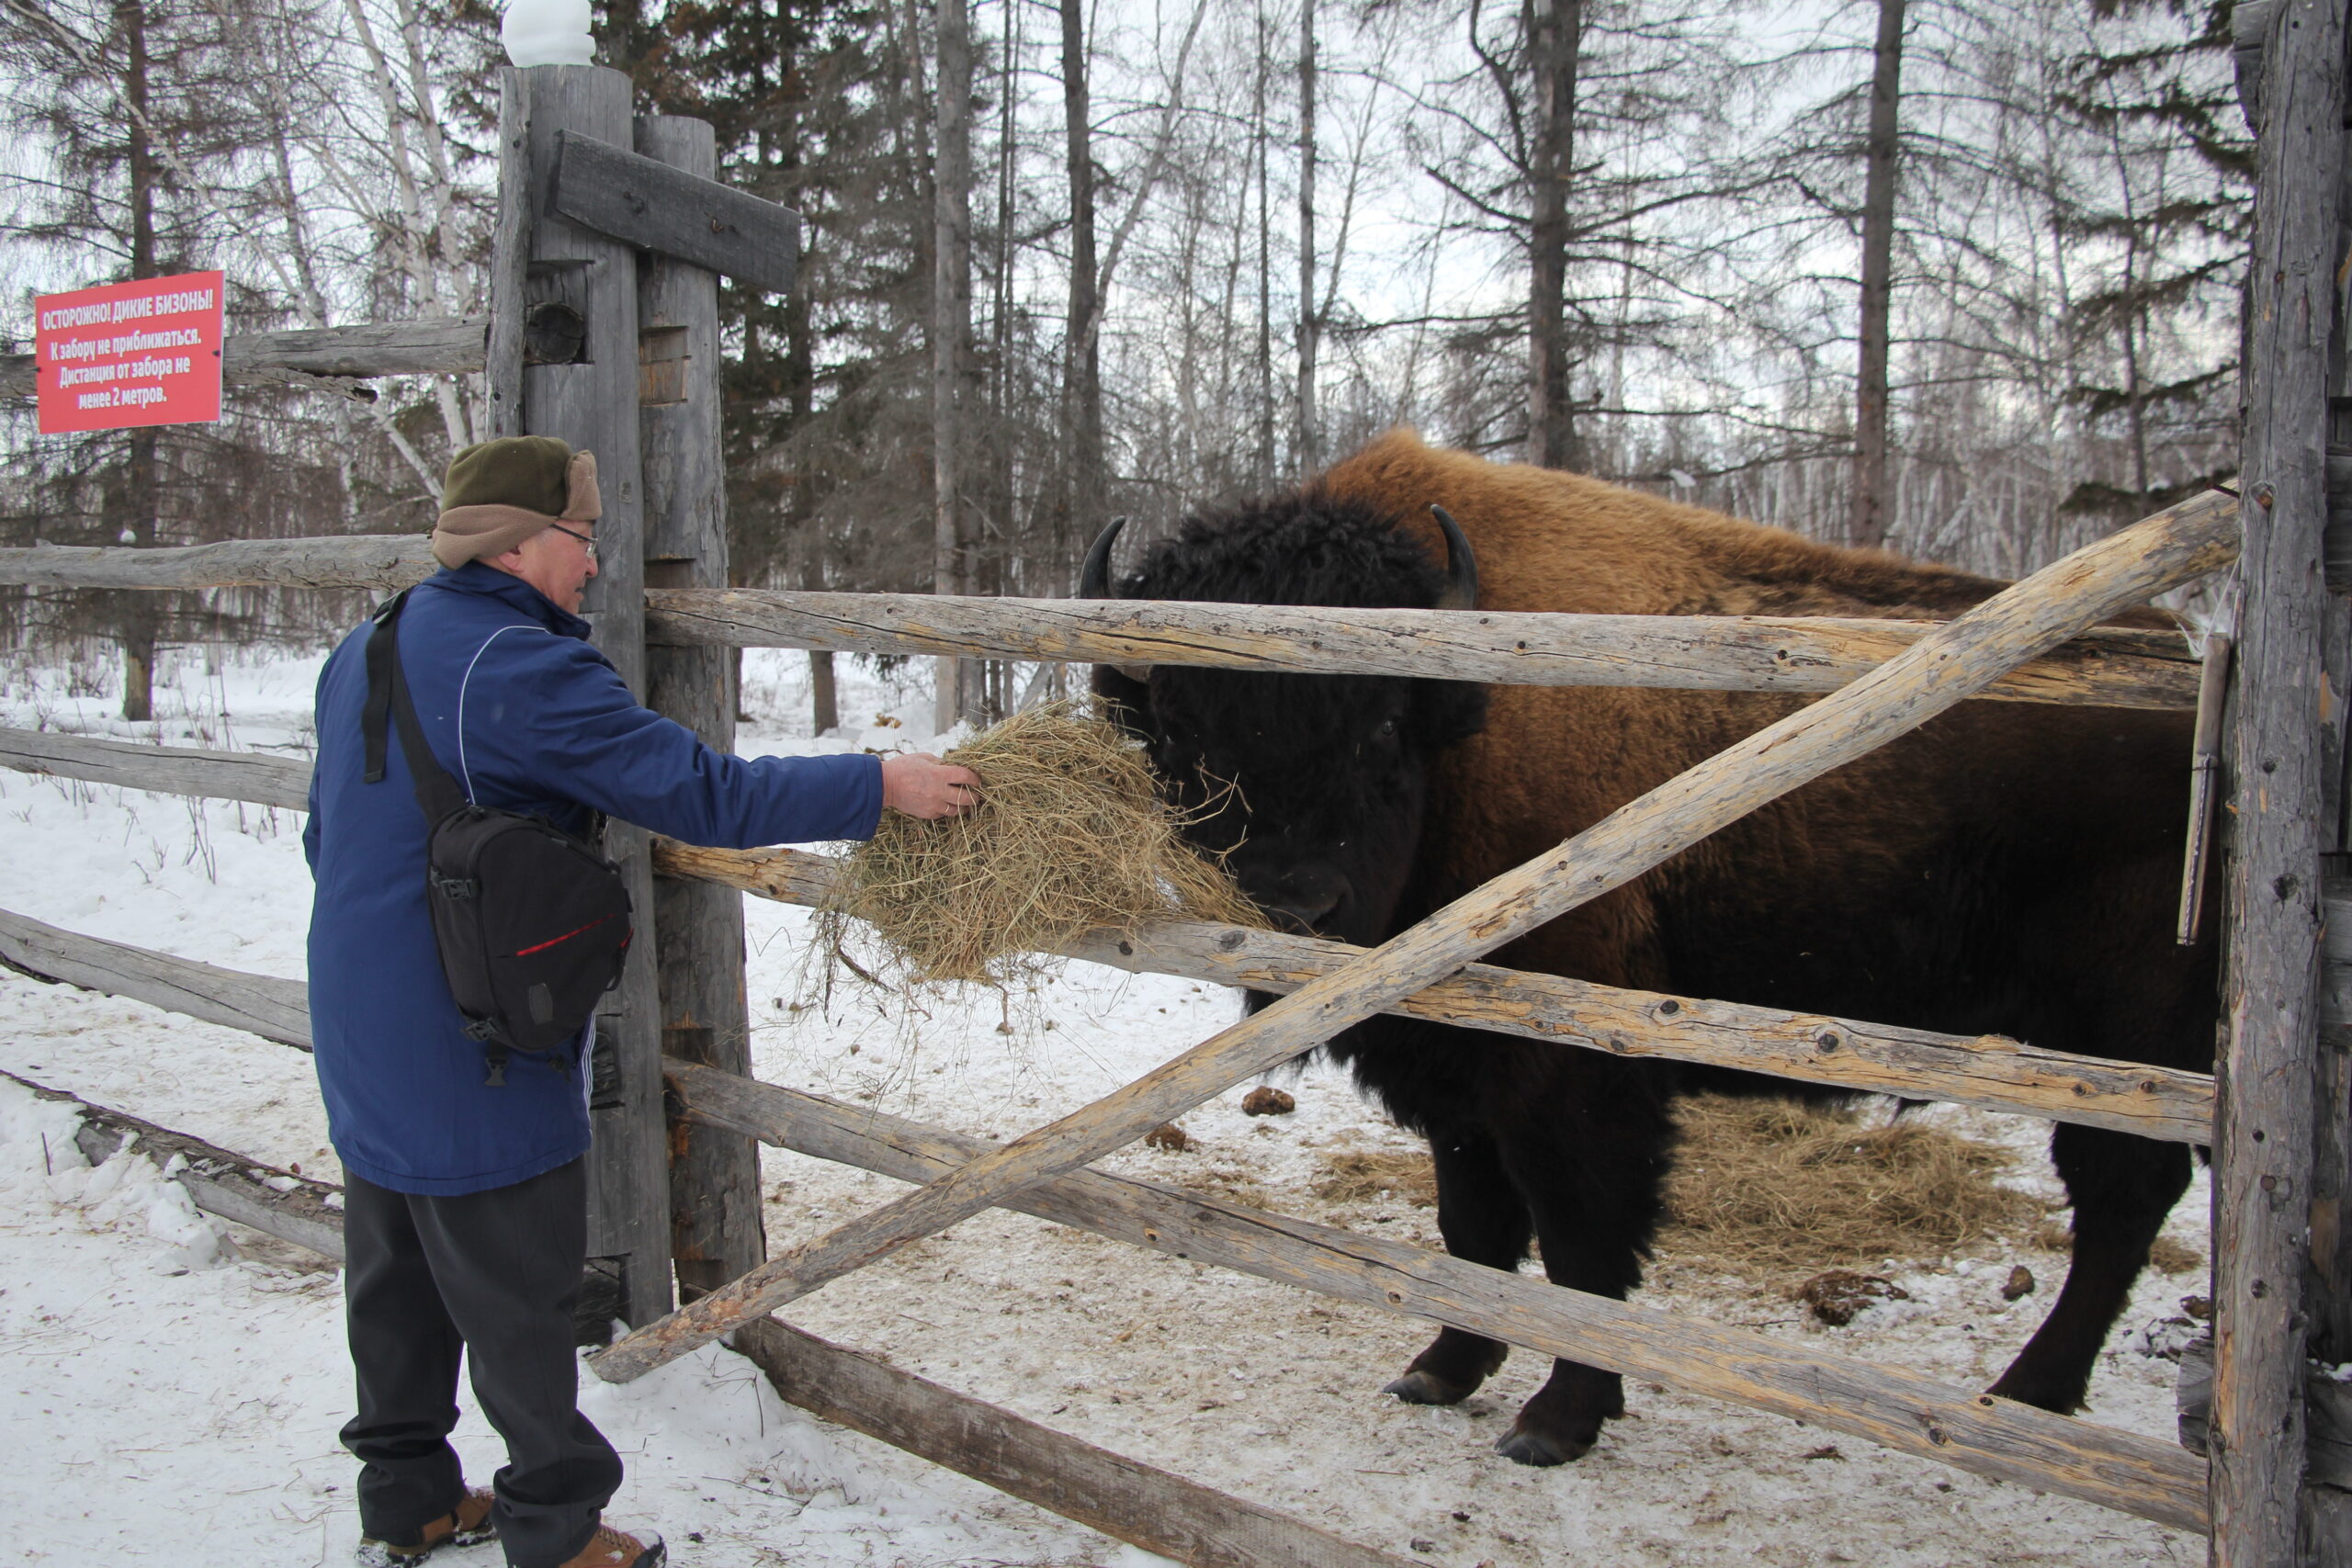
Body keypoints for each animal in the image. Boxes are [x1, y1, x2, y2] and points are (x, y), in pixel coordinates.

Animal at [1091, 430, 2211, 1476]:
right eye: (1178, 731)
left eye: (1381, 727)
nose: (1291, 905)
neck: (1470, 731)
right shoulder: (1458, 1081)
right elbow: (1474, 1230)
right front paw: (1443, 1371)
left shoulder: (1569, 1074)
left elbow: (1581, 1241)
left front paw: (1557, 1420)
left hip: (2121, 1048)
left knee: (2120, 1198)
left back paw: (2025, 1394)